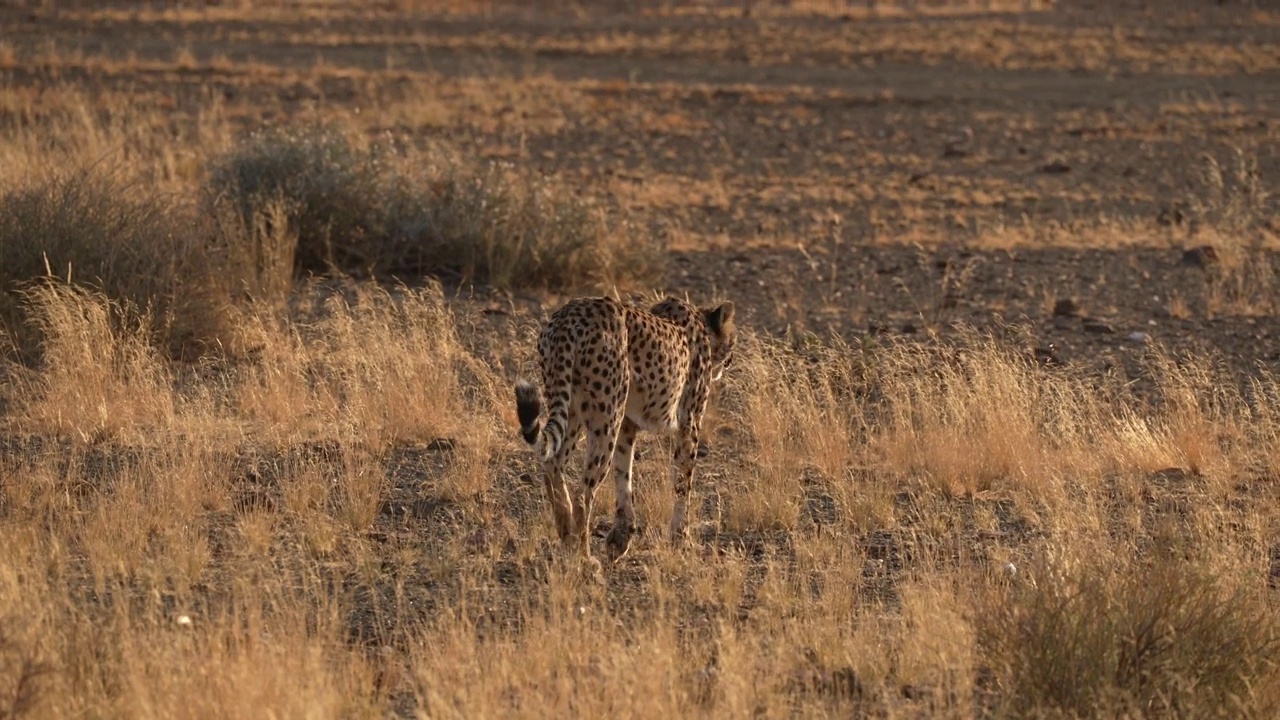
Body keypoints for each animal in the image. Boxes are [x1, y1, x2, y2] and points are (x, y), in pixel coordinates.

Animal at [512, 295, 737, 561]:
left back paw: (567, 540)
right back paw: (584, 557)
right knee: (583, 492)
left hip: (574, 409)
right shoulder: (688, 423)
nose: (731, 360)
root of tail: (569, 315)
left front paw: (620, 537)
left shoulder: (628, 423)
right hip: (606, 414)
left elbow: (623, 472)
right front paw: (682, 539)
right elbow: (683, 482)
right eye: (732, 340)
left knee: (552, 465)